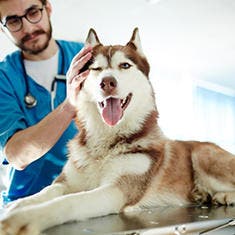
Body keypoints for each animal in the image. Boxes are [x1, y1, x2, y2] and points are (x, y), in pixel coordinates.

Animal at [0, 28, 235, 235]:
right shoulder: (66, 182)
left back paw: (225, 196)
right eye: (96, 69)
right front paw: (16, 206)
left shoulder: (115, 190)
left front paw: (24, 217)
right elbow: (44, 192)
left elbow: (70, 201)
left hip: (203, 155)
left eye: (125, 65)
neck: (105, 142)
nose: (108, 82)